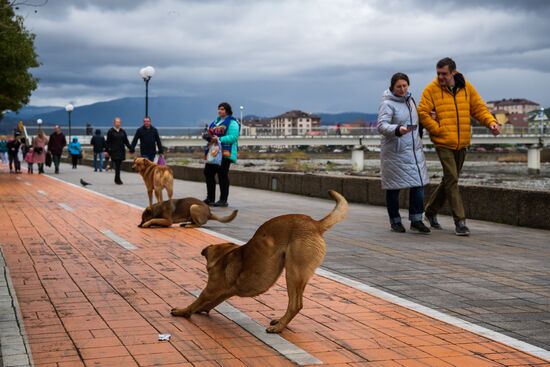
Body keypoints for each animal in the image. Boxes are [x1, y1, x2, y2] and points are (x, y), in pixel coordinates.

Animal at [171, 190, 350, 334]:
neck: (225, 255)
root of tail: (315, 224)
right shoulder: (223, 292)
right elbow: (207, 303)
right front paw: (201, 309)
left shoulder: (210, 289)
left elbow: (195, 302)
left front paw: (182, 311)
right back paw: (280, 322)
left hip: (293, 273)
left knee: (296, 304)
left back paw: (278, 328)